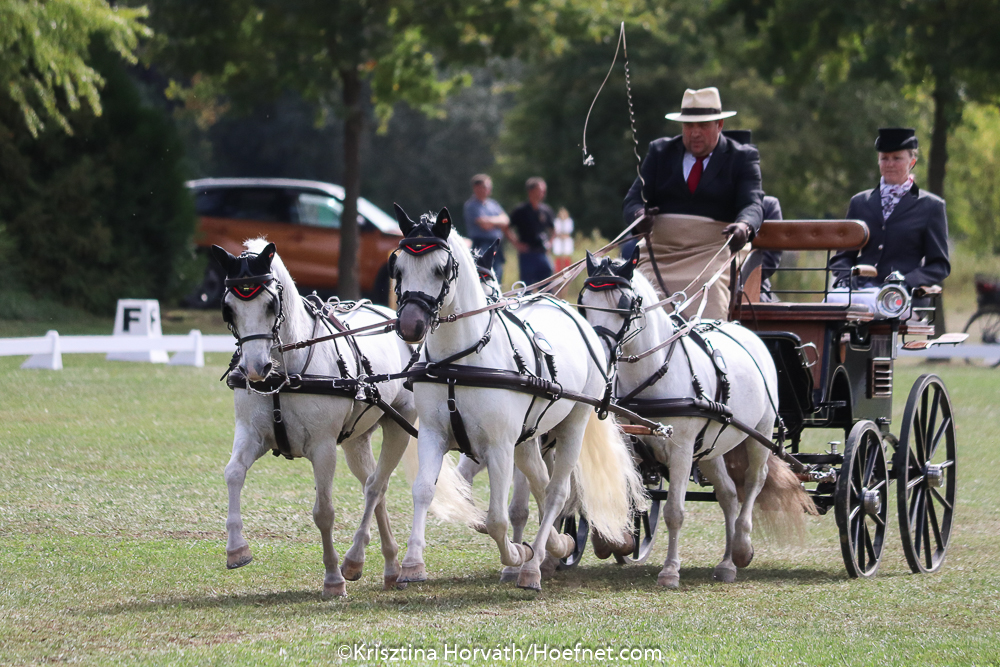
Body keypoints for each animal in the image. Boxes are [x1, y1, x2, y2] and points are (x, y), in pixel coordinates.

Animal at [213, 239, 471, 598]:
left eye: (270, 304)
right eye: (229, 308)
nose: (254, 369)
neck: (285, 372)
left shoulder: (323, 447)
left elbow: (324, 512)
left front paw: (333, 579)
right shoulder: (251, 433)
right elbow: (233, 473)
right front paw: (237, 549)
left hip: (398, 427)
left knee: (376, 487)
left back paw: (356, 560)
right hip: (356, 441)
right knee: (374, 487)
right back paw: (389, 565)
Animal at [390, 205, 646, 591]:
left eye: (440, 269)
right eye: (399, 267)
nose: (410, 326)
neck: (458, 363)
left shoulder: (498, 446)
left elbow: (496, 517)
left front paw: (516, 555)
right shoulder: (434, 435)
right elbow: (424, 491)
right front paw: (412, 564)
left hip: (572, 425)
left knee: (556, 493)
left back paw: (533, 566)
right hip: (526, 437)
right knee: (540, 484)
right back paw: (556, 545)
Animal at [579, 248, 814, 588]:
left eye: (625, 304)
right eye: (584, 301)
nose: (599, 350)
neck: (652, 373)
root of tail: (745, 331)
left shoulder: (681, 449)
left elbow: (674, 511)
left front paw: (670, 571)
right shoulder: (630, 442)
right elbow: (623, 488)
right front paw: (614, 540)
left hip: (759, 432)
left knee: (754, 482)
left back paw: (741, 547)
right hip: (711, 448)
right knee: (728, 494)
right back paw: (727, 563)